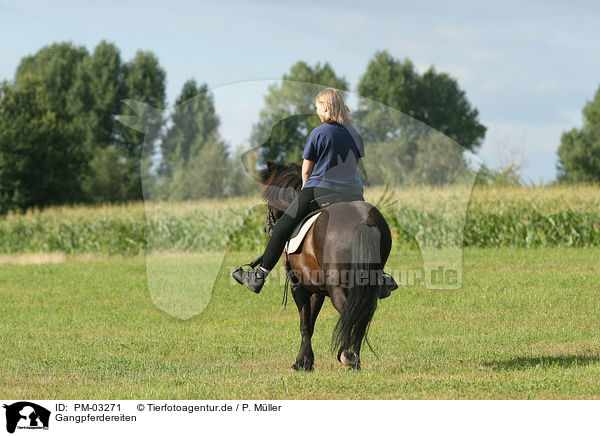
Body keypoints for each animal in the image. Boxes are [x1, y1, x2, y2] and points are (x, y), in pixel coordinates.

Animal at [256, 158, 394, 370]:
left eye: (269, 203)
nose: (267, 227)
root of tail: (361, 220)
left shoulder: (299, 287)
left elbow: (305, 324)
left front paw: (301, 363)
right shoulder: (318, 290)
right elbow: (311, 323)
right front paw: (306, 360)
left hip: (337, 286)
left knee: (349, 314)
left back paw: (347, 356)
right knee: (361, 316)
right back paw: (354, 357)